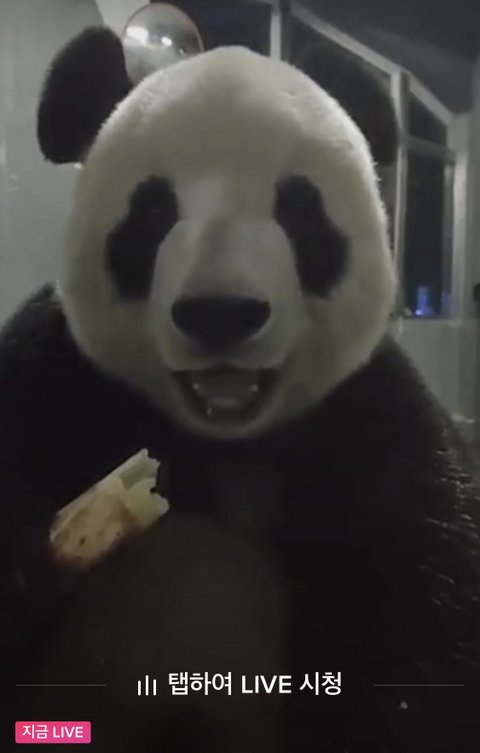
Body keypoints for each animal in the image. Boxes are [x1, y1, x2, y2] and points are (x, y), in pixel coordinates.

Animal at [1, 25, 480, 753]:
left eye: (299, 209)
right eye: (152, 211)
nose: (220, 312)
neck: (226, 441)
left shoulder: (376, 425)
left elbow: (424, 622)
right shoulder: (56, 376)